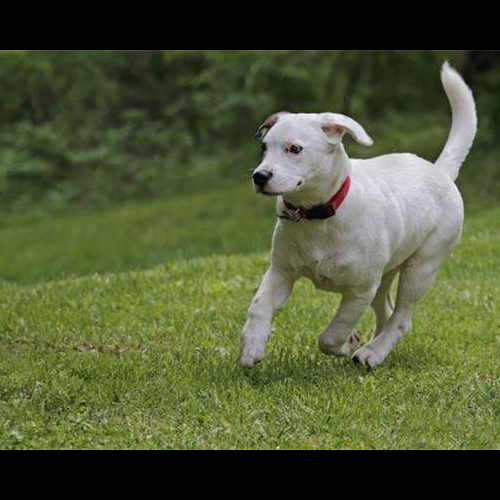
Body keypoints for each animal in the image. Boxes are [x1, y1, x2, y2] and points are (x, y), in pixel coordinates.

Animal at [241, 61, 476, 368]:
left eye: (294, 149)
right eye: (264, 147)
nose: (260, 177)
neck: (319, 217)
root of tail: (440, 172)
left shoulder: (359, 291)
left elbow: (331, 335)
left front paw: (348, 343)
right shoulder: (281, 272)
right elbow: (258, 307)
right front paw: (252, 347)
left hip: (422, 266)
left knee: (401, 319)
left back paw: (371, 353)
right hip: (387, 272)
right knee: (387, 312)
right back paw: (377, 347)